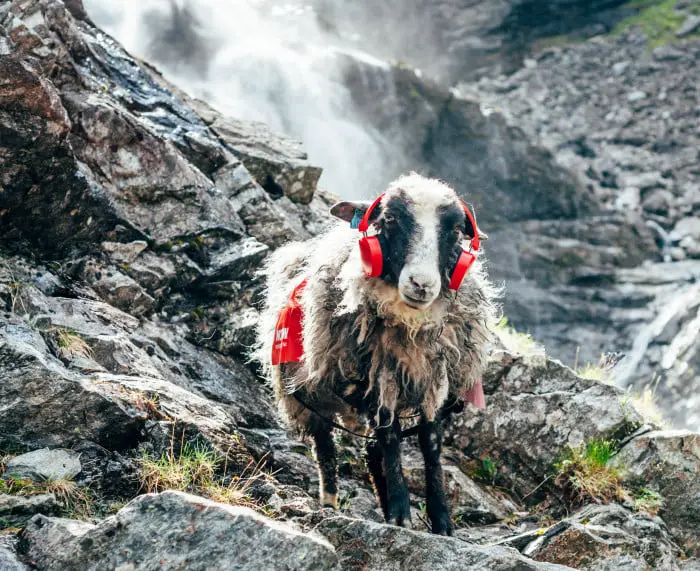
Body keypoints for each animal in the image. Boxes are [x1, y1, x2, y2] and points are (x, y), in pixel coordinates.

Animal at [255, 173, 498, 535]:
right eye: (391, 219)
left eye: (456, 230)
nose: (421, 284)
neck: (410, 325)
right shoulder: (376, 376)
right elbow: (391, 438)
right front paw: (401, 514)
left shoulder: (435, 379)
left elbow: (430, 443)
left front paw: (441, 519)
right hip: (309, 392)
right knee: (326, 448)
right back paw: (331, 501)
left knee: (371, 449)